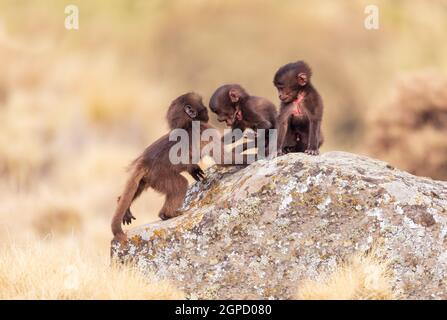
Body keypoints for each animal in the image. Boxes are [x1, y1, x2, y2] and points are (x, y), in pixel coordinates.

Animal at [110, 91, 247, 241]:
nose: (209, 113)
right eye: (204, 108)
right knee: (180, 184)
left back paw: (122, 204)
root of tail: (144, 160)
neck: (187, 124)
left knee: (137, 187)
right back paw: (167, 214)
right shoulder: (205, 130)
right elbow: (222, 158)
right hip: (159, 176)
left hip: (148, 178)